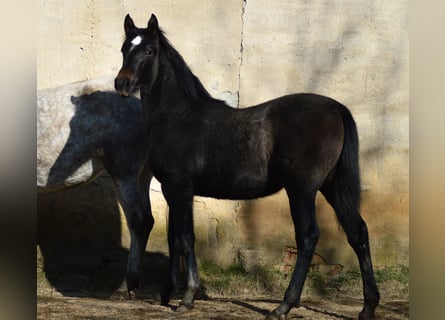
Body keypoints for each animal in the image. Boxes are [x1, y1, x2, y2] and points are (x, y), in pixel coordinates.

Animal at [113, 13, 378, 318]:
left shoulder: (180, 188)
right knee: (358, 232)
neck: (178, 117)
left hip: (302, 190)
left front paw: (188, 297)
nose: (121, 83)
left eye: (149, 50)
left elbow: (186, 238)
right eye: (124, 48)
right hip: (331, 186)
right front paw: (167, 293)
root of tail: (337, 109)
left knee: (308, 237)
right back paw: (368, 307)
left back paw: (283, 306)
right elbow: (174, 240)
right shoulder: (173, 191)